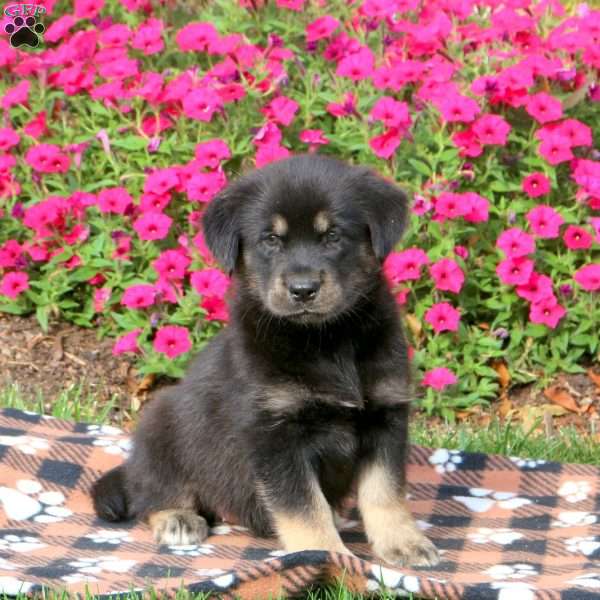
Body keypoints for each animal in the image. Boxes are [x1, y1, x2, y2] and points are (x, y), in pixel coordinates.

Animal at [94, 155, 440, 568]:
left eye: (333, 236)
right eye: (271, 240)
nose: (303, 290)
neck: (326, 340)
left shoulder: (385, 415)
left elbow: (385, 491)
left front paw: (403, 542)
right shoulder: (274, 433)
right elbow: (304, 506)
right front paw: (325, 555)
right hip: (160, 425)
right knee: (150, 492)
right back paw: (177, 518)